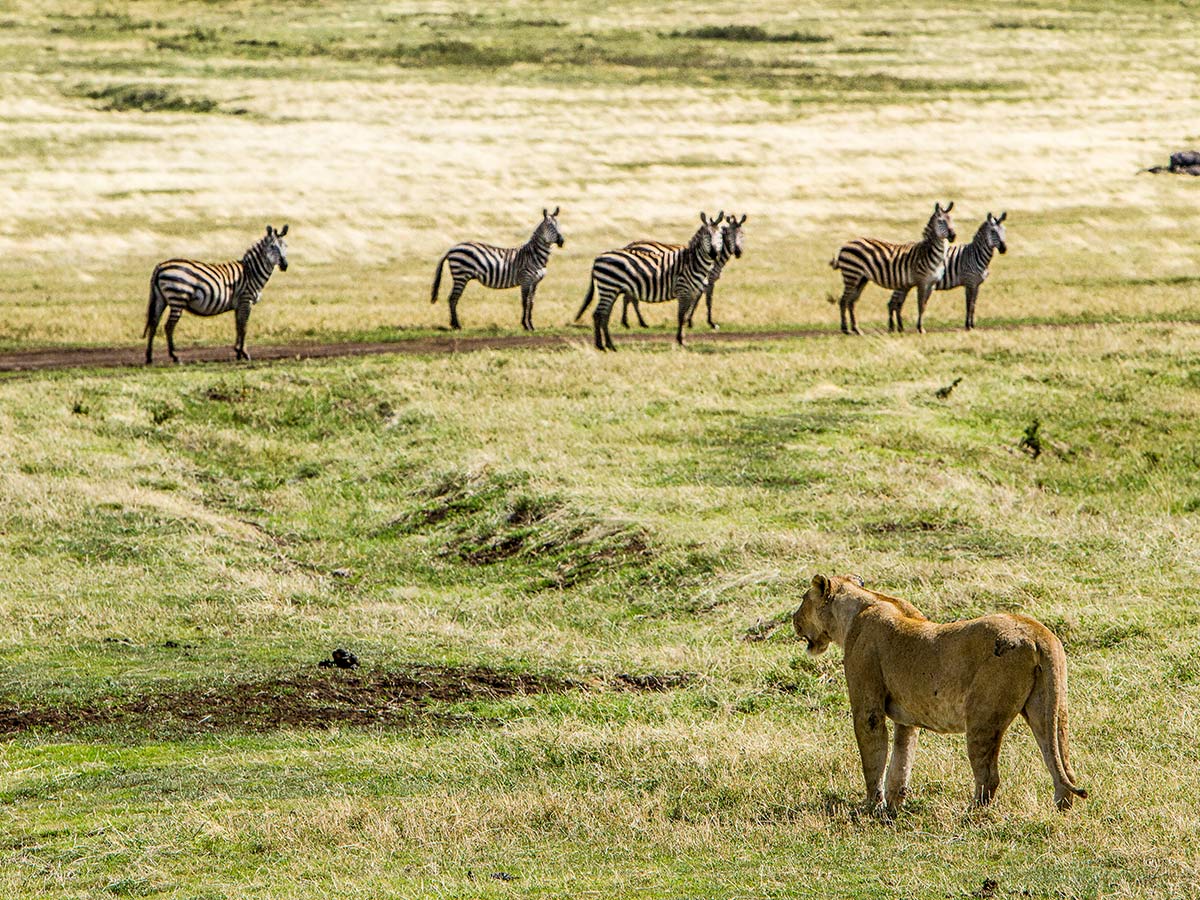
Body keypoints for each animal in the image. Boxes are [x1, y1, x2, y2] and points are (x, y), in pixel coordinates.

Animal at [142, 225, 285, 367]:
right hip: (178, 298)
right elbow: (244, 327)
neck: (251, 273)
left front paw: (238, 352)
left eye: (285, 246)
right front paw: (245, 353)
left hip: (161, 299)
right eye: (272, 246)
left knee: (154, 324)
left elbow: (238, 326)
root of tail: (160, 266)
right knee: (169, 326)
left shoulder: (239, 305)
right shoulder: (246, 300)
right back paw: (175, 356)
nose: (285, 265)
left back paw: (149, 358)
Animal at [432, 210, 561, 333]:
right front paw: (526, 325)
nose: (562, 241)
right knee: (453, 298)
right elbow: (525, 302)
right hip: (461, 275)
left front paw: (531, 326)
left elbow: (531, 303)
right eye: (550, 226)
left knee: (452, 298)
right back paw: (456, 325)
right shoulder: (526, 279)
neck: (534, 255)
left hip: (460, 276)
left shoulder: (534, 283)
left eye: (559, 225)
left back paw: (454, 325)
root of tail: (452, 248)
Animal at [573, 212, 720, 352]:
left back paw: (608, 345)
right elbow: (682, 317)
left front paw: (683, 338)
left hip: (611, 290)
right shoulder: (683, 291)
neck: (692, 262)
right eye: (706, 235)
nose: (713, 254)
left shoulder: (693, 293)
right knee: (599, 314)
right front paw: (681, 341)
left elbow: (686, 315)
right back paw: (602, 345)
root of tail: (597, 258)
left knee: (604, 315)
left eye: (719, 235)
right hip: (608, 287)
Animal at [835, 202, 955, 336]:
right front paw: (920, 328)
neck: (930, 254)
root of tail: (846, 244)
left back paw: (856, 329)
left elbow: (923, 306)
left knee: (851, 302)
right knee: (843, 301)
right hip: (852, 275)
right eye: (941, 221)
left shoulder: (932, 284)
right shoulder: (922, 282)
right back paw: (845, 329)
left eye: (952, 220)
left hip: (861, 278)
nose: (953, 236)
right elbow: (920, 306)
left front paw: (917, 327)